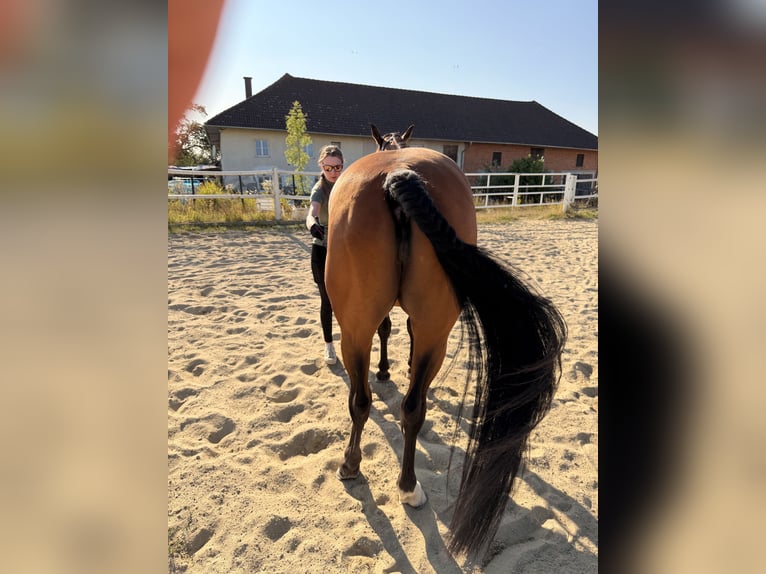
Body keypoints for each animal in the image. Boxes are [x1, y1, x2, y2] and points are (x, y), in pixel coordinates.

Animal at [325, 130, 567, 557]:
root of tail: (397, 174)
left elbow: (387, 331)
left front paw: (385, 370)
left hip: (363, 331)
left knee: (368, 401)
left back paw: (360, 470)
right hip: (424, 331)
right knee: (406, 407)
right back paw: (401, 484)